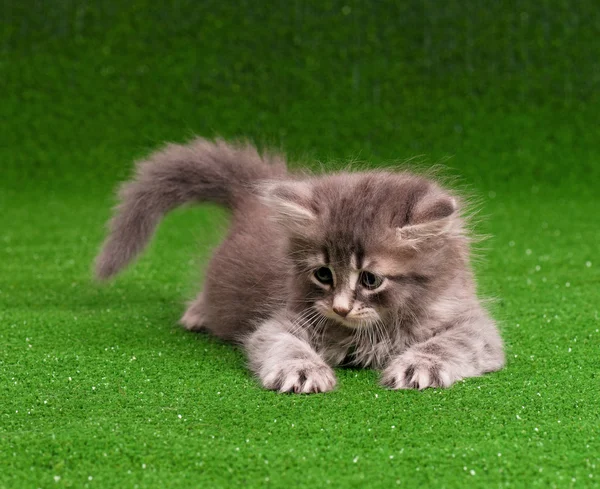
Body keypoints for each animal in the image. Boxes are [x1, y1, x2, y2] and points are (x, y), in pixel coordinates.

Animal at [95, 137, 506, 392]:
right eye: (323, 274)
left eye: (370, 279)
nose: (340, 307)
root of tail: (252, 193)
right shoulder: (282, 320)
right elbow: (282, 344)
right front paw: (303, 370)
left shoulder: (475, 325)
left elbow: (450, 342)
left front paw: (417, 365)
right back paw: (198, 313)